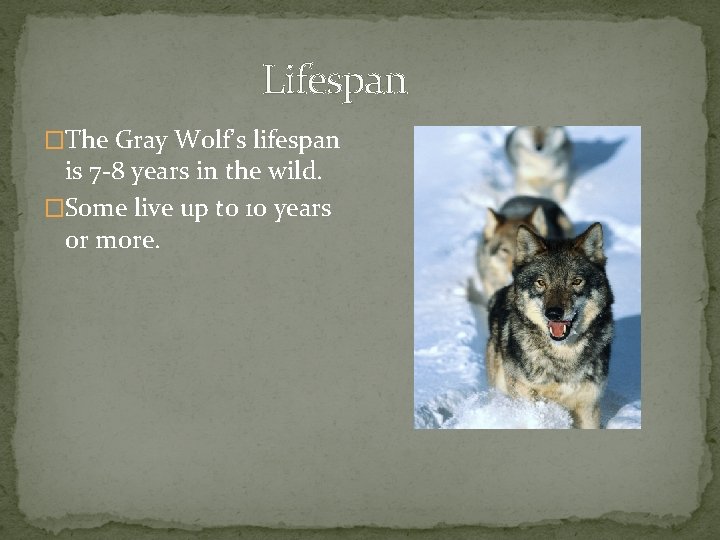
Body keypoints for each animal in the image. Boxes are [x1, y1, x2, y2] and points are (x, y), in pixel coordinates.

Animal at [485, 222, 613, 429]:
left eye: (576, 281)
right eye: (541, 282)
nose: (553, 313)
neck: (563, 356)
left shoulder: (588, 408)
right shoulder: (527, 399)